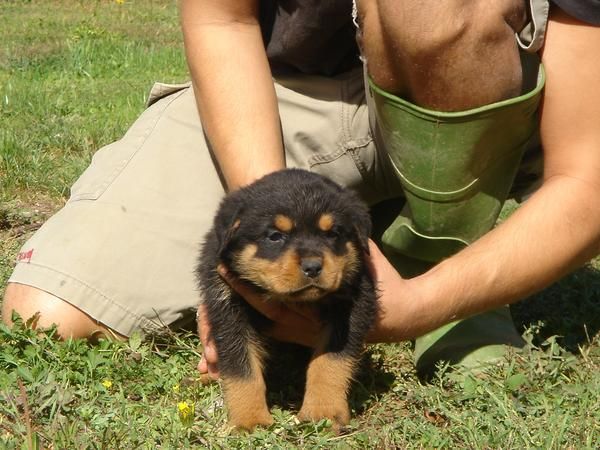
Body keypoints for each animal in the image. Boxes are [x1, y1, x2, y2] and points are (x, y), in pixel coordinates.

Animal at [196, 167, 376, 430]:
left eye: (333, 234)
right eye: (275, 236)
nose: (313, 267)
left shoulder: (352, 305)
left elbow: (330, 362)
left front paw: (323, 412)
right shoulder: (227, 309)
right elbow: (241, 369)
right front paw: (249, 421)